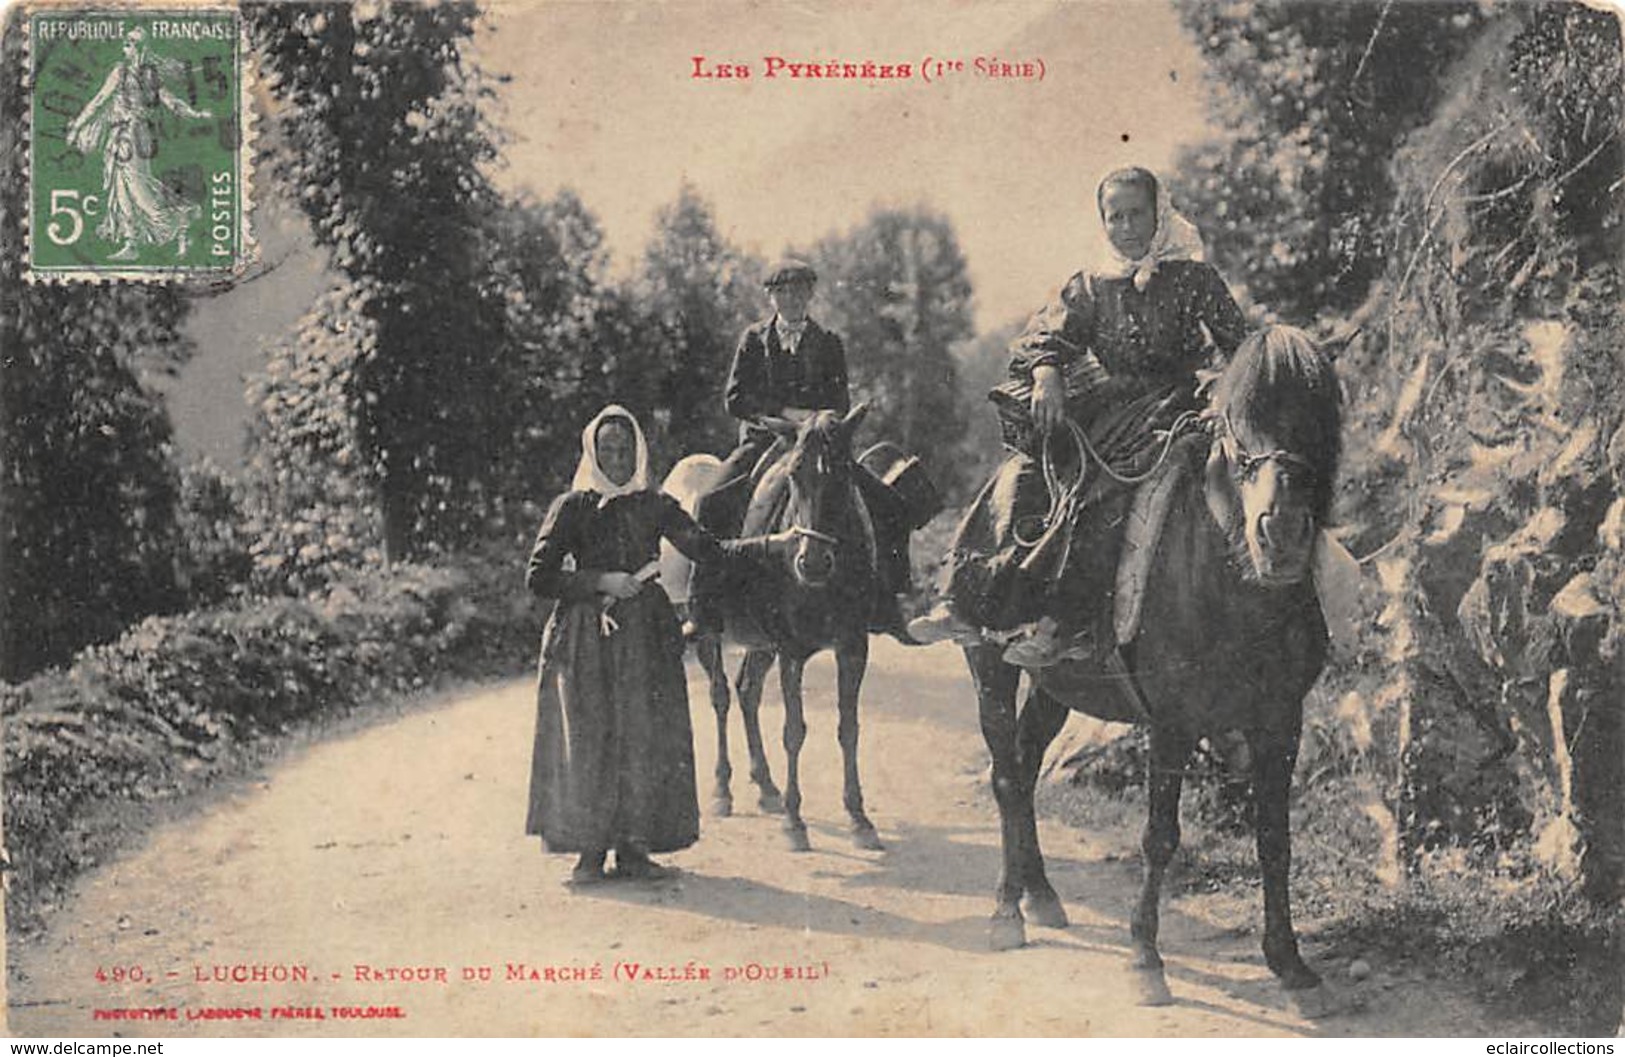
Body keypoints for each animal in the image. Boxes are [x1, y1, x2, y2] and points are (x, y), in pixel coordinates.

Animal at [663, 401, 884, 845]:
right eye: (795, 473)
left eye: (844, 472)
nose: (811, 563)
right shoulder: (791, 651)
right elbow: (794, 730)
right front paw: (795, 823)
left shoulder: (853, 647)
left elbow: (848, 727)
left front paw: (858, 817)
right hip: (710, 635)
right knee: (721, 696)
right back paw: (723, 789)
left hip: (761, 645)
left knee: (747, 692)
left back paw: (766, 786)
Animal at [962, 325, 1345, 1008]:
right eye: (1235, 429)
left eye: (1321, 420)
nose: (1280, 534)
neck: (1228, 582)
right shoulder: (1172, 723)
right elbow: (1159, 836)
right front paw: (1145, 958)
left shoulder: (1281, 721)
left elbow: (1275, 840)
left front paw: (1290, 962)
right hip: (990, 669)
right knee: (1005, 776)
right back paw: (1007, 912)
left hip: (1056, 687)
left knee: (1027, 768)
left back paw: (1042, 896)